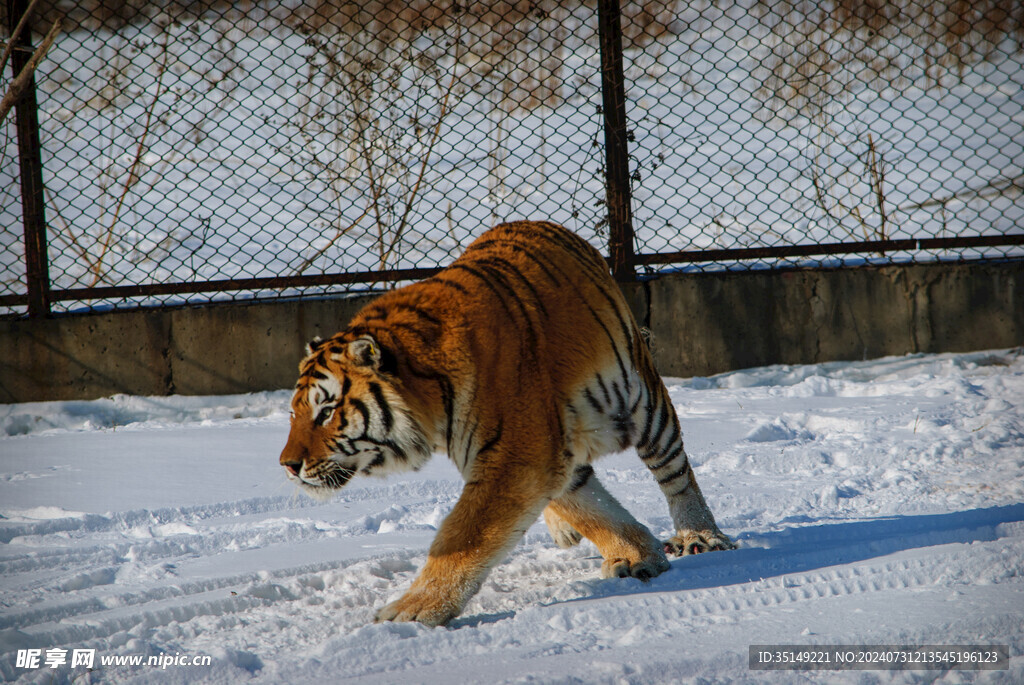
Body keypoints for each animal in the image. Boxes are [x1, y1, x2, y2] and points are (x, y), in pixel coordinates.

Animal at [276, 220, 733, 626]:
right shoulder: (538, 454)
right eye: (295, 412)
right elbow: (594, 508)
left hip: (644, 403)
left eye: (326, 411)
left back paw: (700, 537)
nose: (288, 466)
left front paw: (412, 611)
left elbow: (461, 538)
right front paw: (637, 554)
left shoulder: (518, 459)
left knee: (675, 473)